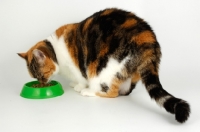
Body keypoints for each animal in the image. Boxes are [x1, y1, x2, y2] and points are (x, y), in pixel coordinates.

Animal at [18, 8, 190, 123]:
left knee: (111, 92)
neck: (55, 49)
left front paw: (79, 86)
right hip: (128, 72)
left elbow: (80, 78)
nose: (41, 83)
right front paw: (73, 84)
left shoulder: (78, 67)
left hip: (105, 67)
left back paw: (89, 92)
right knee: (124, 90)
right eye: (36, 77)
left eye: (41, 75)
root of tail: (147, 37)